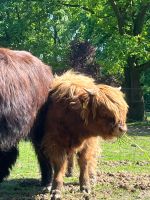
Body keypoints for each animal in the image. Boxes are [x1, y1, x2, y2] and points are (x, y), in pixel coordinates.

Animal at [42, 70, 127, 198]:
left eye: (123, 110)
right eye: (104, 111)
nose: (122, 129)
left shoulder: (89, 143)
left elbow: (84, 163)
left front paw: (86, 186)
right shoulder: (55, 142)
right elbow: (59, 165)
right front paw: (56, 190)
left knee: (92, 159)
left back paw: (92, 177)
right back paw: (69, 172)